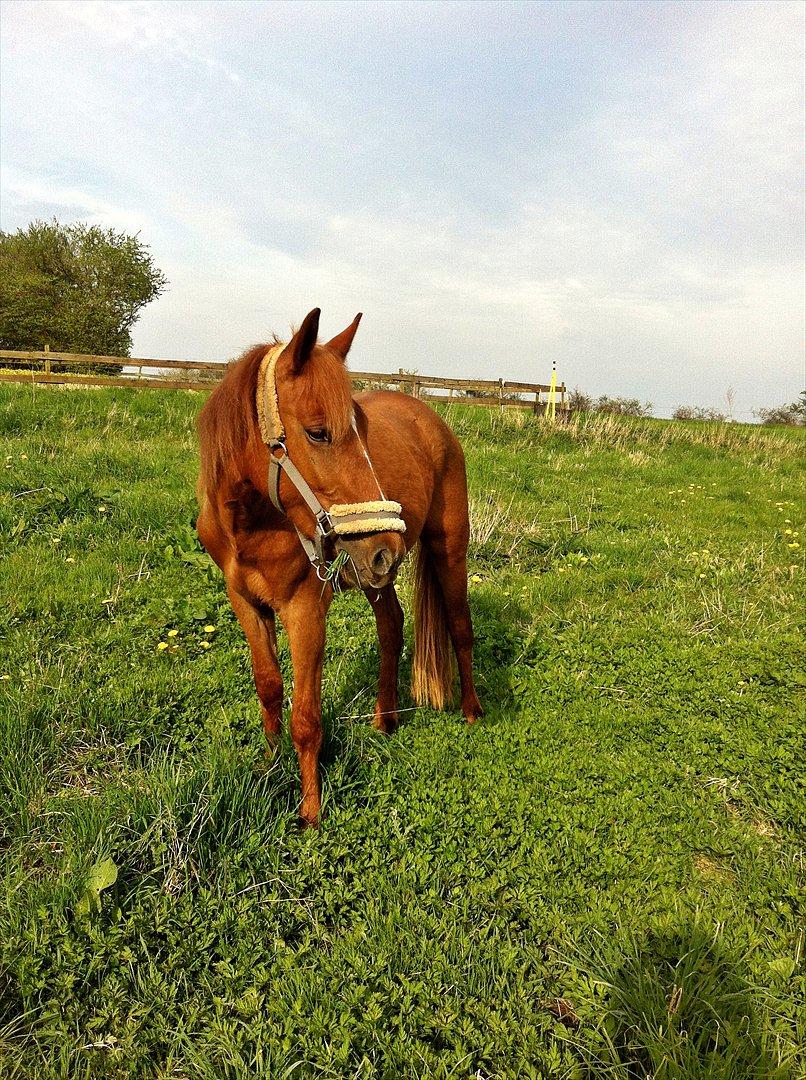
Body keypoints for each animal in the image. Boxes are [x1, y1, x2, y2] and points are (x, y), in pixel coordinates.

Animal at [196, 308, 482, 825]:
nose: (389, 543)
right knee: (392, 625)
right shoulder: (245, 601)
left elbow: (307, 717)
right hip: (373, 574)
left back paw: (471, 711)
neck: (253, 522)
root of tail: (431, 420)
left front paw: (310, 812)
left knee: (459, 627)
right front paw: (270, 763)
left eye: (361, 431)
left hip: (445, 548)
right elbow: (269, 687)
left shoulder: (305, 608)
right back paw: (385, 721)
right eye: (317, 432)